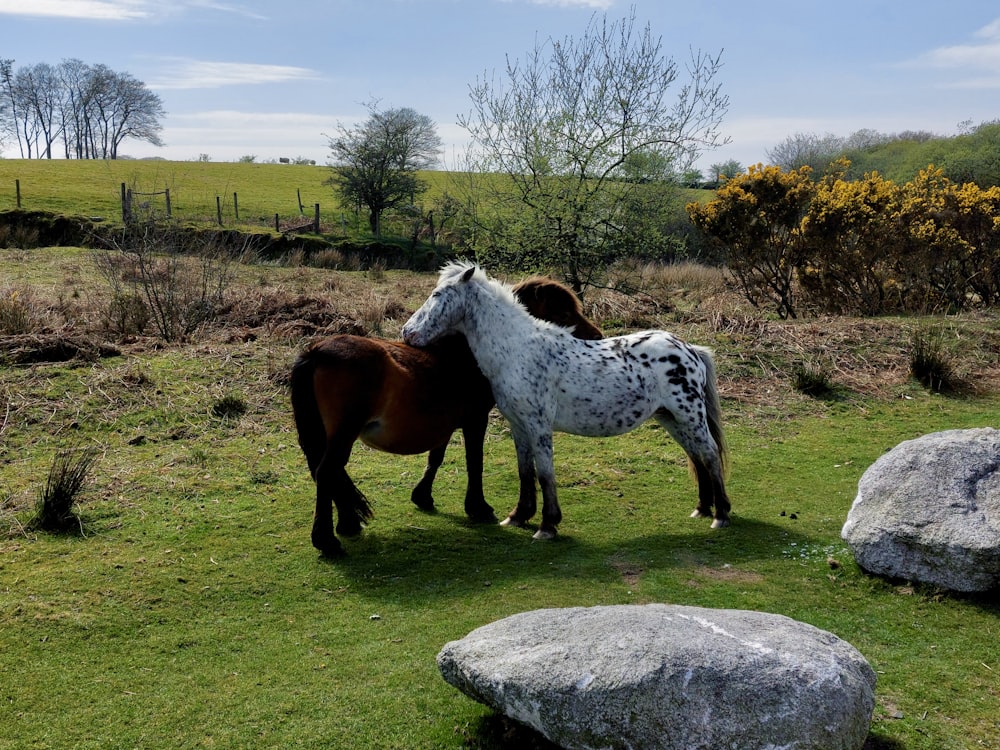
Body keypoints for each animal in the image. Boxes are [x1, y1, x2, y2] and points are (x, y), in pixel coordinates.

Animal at [292, 276, 600, 560]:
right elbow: (474, 462)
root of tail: (316, 352)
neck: (465, 353)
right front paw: (478, 507)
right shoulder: (475, 419)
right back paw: (327, 541)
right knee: (327, 472)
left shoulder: (444, 423)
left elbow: (435, 458)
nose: (597, 337)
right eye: (564, 314)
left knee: (329, 473)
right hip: (343, 433)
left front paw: (423, 497)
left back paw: (347, 524)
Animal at [402, 264, 732, 540]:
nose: (407, 332)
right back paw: (702, 509)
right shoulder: (519, 427)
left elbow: (545, 473)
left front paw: (548, 525)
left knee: (709, 454)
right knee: (696, 456)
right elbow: (525, 471)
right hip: (671, 419)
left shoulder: (538, 426)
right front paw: (518, 516)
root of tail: (689, 349)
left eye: (436, 295)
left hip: (689, 416)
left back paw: (721, 515)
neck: (518, 351)